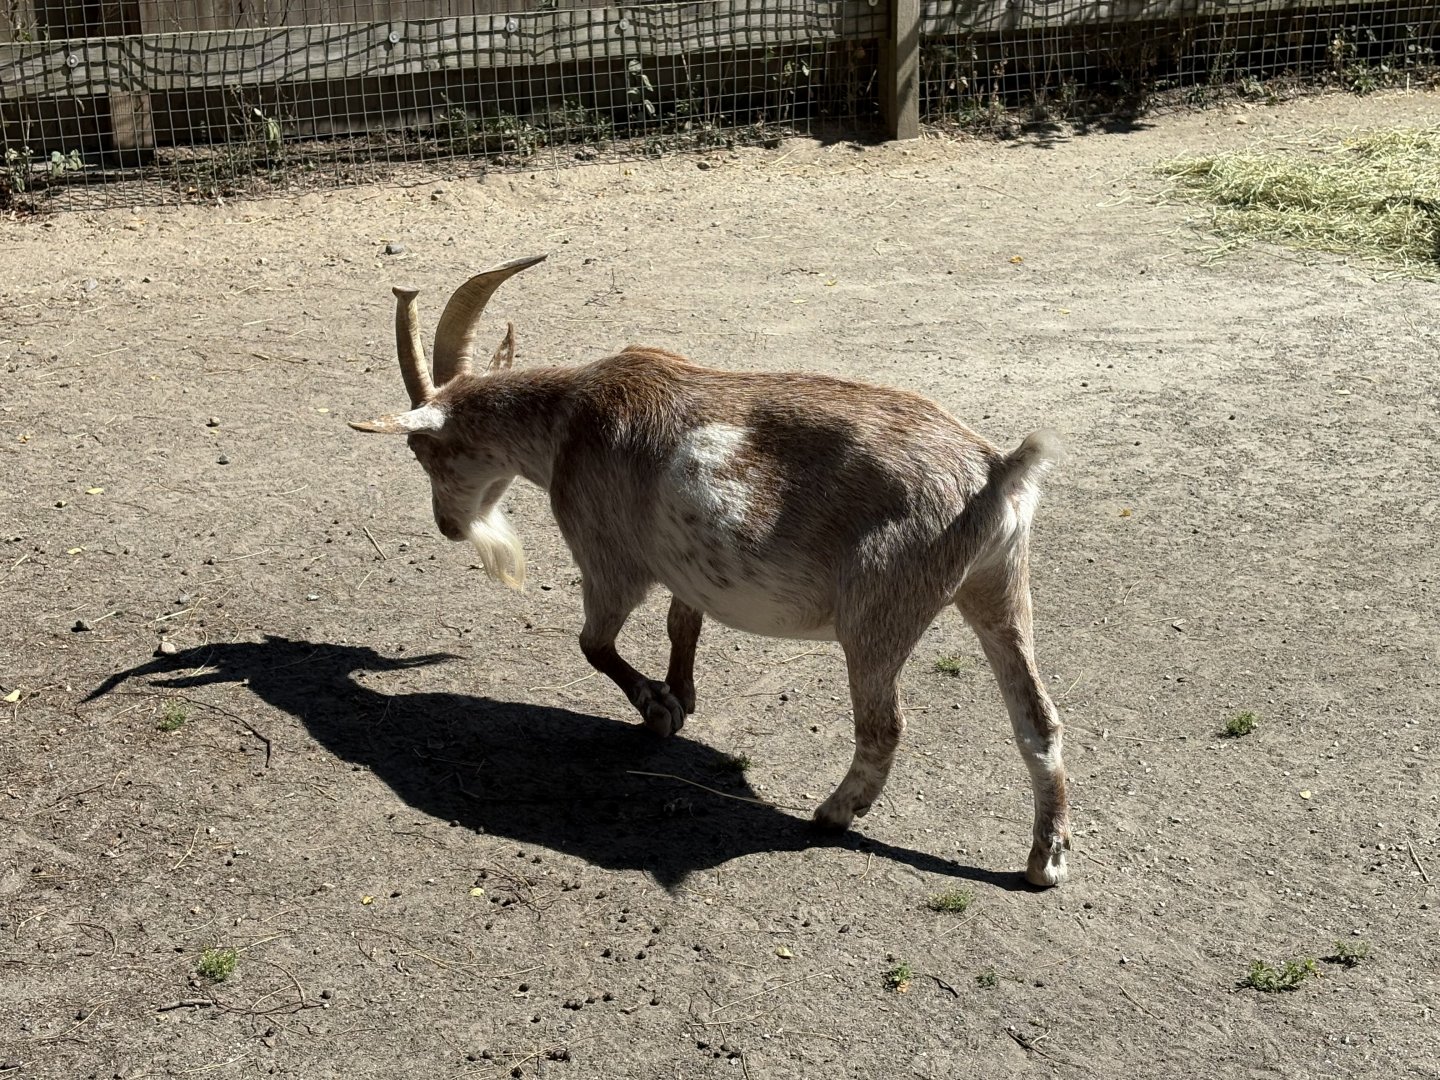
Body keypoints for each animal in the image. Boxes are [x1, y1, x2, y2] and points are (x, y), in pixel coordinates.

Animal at [350, 255, 1072, 887]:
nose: (448, 527)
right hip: (998, 589)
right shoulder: (686, 571)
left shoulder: (608, 557)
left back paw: (833, 813)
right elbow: (682, 625)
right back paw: (1046, 860)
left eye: (423, 450)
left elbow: (594, 643)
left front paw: (659, 709)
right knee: (1038, 722)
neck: (568, 420)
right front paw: (683, 693)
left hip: (880, 614)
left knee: (883, 727)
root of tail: (994, 474)